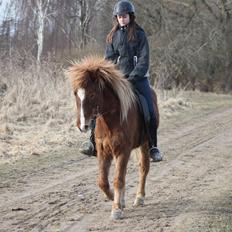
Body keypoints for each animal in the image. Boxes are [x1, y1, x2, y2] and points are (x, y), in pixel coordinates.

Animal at [66, 55, 159, 219]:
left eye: (92, 94)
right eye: (76, 93)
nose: (83, 126)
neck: (111, 119)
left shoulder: (123, 150)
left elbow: (118, 180)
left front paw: (116, 209)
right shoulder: (104, 151)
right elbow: (103, 181)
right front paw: (113, 198)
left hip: (145, 144)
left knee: (143, 168)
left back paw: (139, 197)